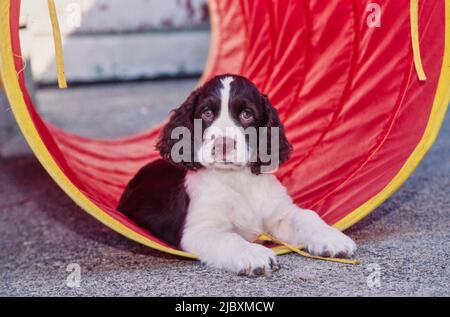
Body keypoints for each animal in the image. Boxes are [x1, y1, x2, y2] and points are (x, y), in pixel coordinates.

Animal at [118, 73, 356, 274]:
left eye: (246, 114)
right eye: (206, 113)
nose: (223, 144)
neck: (237, 178)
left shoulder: (280, 214)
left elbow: (307, 216)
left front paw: (331, 238)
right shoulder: (199, 229)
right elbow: (229, 238)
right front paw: (253, 254)